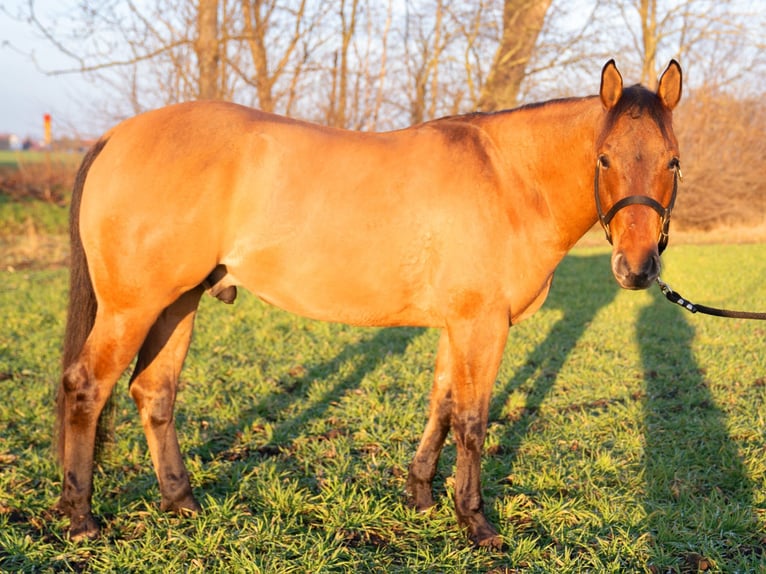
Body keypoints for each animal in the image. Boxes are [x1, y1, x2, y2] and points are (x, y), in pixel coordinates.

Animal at [57, 60, 688, 552]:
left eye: (673, 160)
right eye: (604, 159)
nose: (636, 268)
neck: (509, 179)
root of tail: (115, 137)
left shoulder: (456, 324)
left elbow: (441, 405)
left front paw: (421, 496)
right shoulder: (481, 324)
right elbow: (472, 419)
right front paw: (476, 522)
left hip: (176, 304)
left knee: (153, 392)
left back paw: (180, 501)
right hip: (132, 307)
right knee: (86, 387)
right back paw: (81, 518)